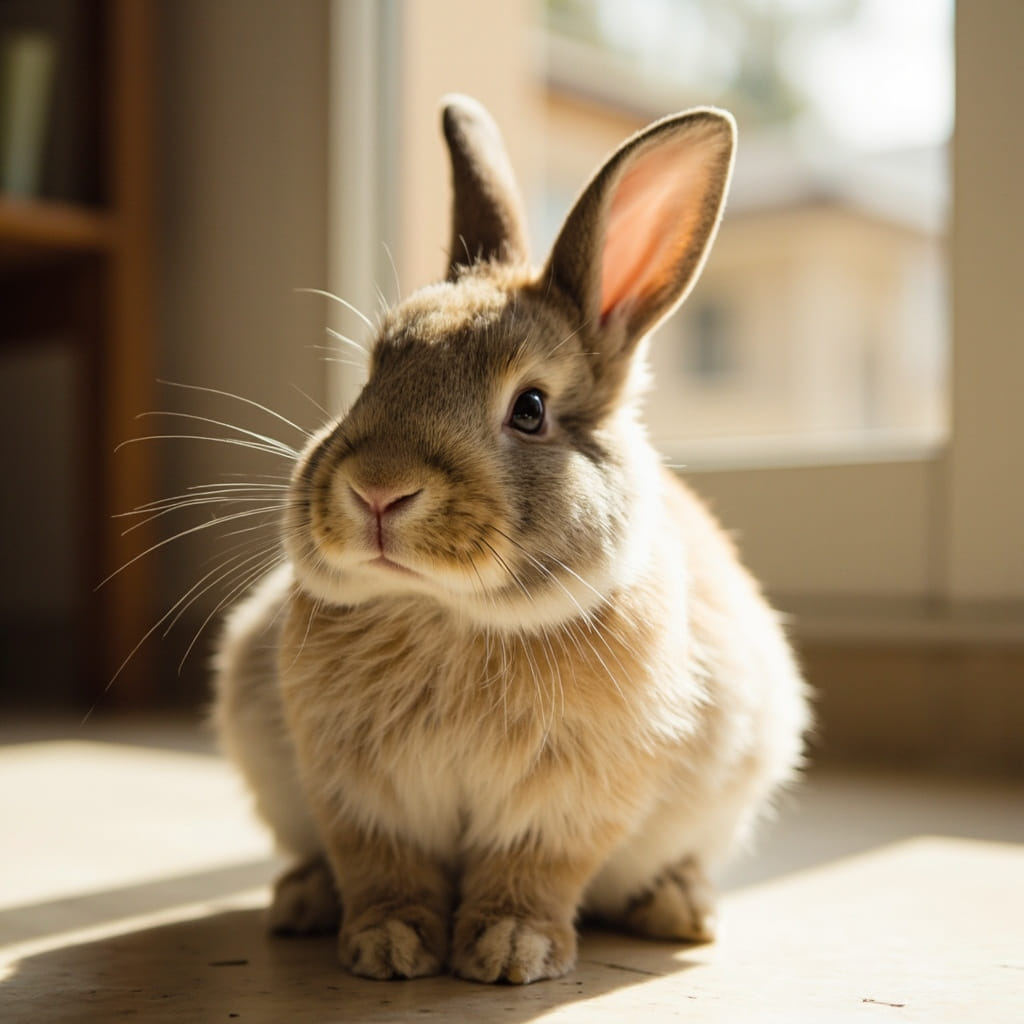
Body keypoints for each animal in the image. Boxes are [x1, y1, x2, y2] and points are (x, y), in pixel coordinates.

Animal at [213, 94, 810, 985]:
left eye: (530, 409)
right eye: (371, 376)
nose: (378, 489)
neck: (448, 613)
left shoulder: (568, 801)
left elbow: (534, 869)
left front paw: (508, 952)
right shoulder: (359, 796)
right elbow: (382, 867)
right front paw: (387, 948)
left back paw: (680, 909)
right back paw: (303, 903)